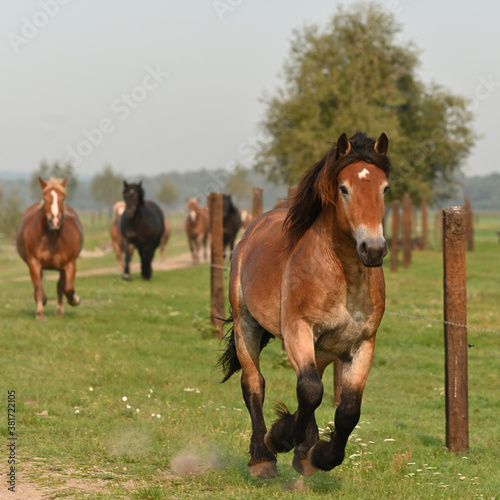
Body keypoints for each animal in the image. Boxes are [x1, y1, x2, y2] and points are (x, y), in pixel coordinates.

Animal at [16, 179, 83, 320]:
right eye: (45, 198)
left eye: (63, 198)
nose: (55, 221)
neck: (52, 239)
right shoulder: (34, 263)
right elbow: (38, 288)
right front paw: (40, 313)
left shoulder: (69, 264)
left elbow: (68, 289)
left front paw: (75, 300)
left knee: (61, 287)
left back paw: (59, 310)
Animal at [219, 132, 390, 476]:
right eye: (344, 188)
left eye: (384, 188)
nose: (374, 249)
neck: (344, 277)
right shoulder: (299, 331)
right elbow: (309, 392)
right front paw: (280, 438)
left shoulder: (362, 343)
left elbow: (347, 409)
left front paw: (319, 455)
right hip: (246, 325)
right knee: (254, 384)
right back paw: (262, 457)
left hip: (322, 349)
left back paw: (302, 450)